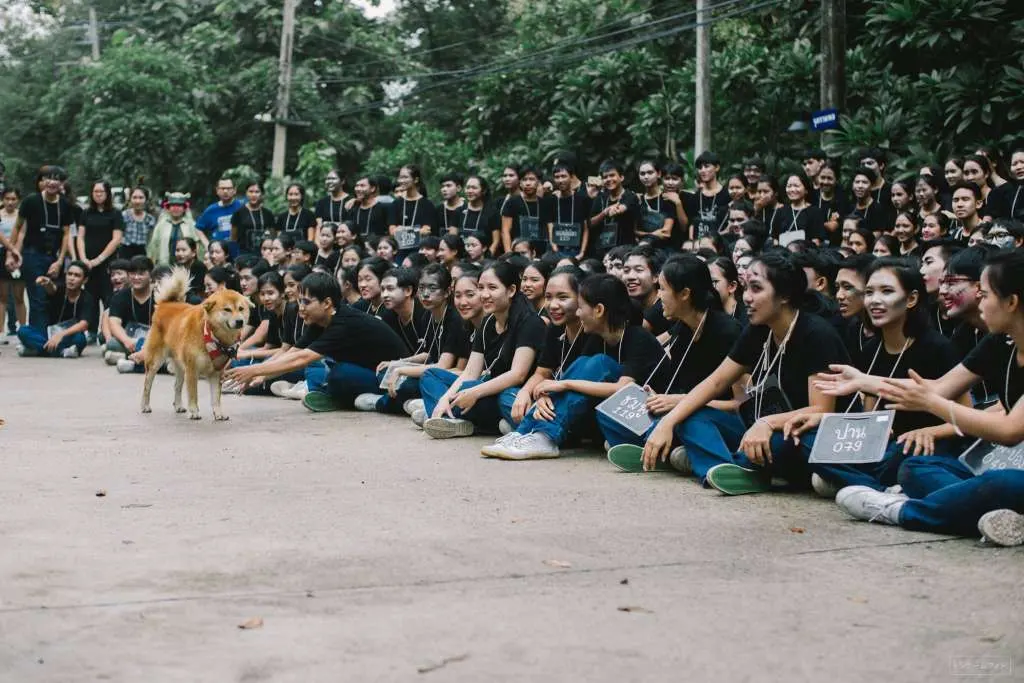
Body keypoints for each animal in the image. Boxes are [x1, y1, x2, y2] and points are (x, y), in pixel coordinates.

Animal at [141, 267, 252, 420]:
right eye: (227, 309)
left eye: (241, 308)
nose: (240, 321)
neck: (213, 336)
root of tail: (166, 304)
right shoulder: (192, 369)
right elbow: (193, 394)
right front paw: (194, 411)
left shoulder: (217, 372)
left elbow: (215, 397)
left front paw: (218, 414)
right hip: (155, 362)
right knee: (147, 385)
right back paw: (145, 406)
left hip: (180, 366)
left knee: (177, 386)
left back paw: (178, 406)